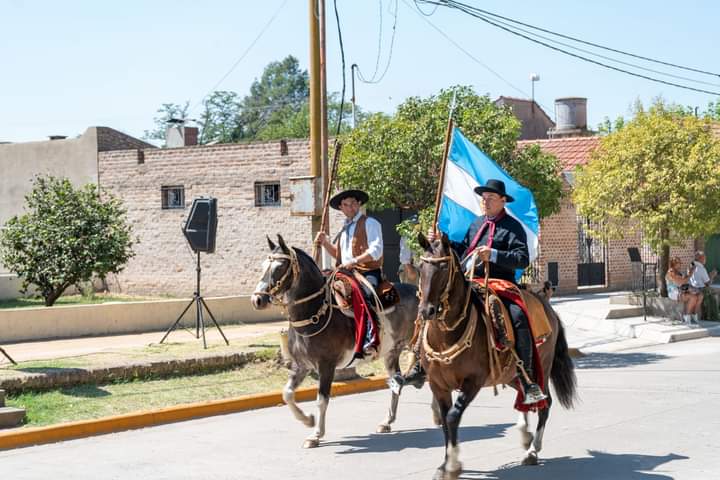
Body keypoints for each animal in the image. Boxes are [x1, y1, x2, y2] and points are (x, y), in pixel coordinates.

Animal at [250, 234, 420, 448]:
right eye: (263, 265)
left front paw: (316, 435)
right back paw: (386, 422)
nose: (257, 300)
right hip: (391, 353)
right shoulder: (301, 365)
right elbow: (287, 394)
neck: (314, 313)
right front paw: (307, 420)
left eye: (280, 267)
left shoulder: (326, 365)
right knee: (396, 382)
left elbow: (322, 399)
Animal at [416, 232, 572, 476]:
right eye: (421, 267)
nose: (426, 311)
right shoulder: (438, 385)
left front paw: (454, 464)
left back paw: (532, 450)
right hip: (512, 375)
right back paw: (525, 434)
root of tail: (547, 307)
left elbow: (452, 417)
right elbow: (445, 423)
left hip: (542, 368)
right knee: (524, 396)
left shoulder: (473, 381)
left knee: (544, 404)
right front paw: (445, 464)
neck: (445, 336)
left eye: (443, 267)